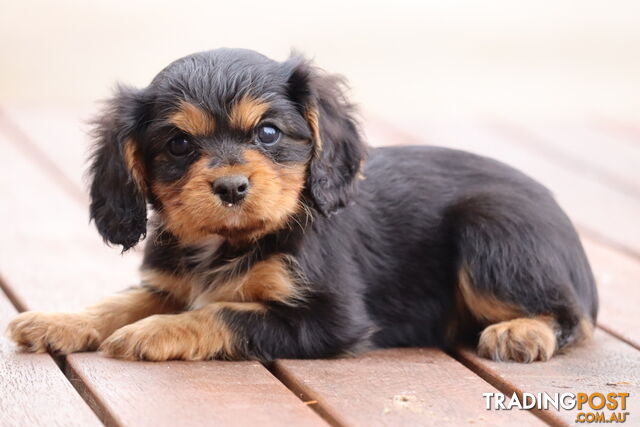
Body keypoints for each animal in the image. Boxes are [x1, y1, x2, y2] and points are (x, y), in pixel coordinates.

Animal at [7, 48, 596, 362]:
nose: (231, 188)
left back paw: (521, 331)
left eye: (269, 132)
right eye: (178, 145)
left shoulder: (332, 319)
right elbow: (117, 303)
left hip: (491, 229)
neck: (229, 242)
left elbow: (223, 312)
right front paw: (58, 321)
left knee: (573, 317)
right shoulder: (167, 285)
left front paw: (153, 332)